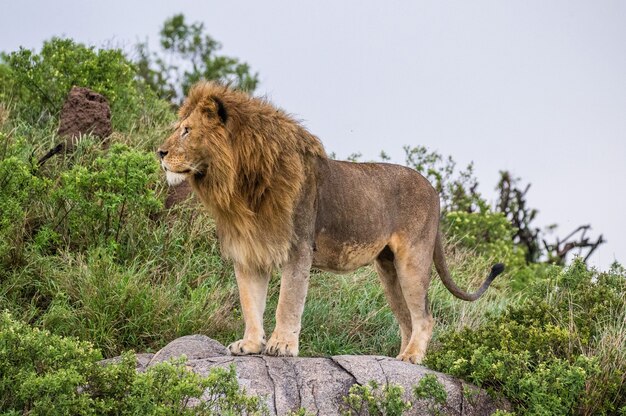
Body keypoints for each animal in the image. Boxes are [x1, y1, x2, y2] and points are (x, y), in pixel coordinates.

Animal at [157, 82, 502, 364]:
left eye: (187, 130)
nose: (159, 152)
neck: (240, 184)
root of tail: (434, 191)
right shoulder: (250, 250)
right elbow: (250, 302)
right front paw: (251, 345)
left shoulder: (298, 246)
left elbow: (288, 300)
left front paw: (282, 346)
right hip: (388, 268)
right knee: (407, 318)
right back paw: (402, 357)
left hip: (412, 260)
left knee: (425, 316)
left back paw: (413, 357)